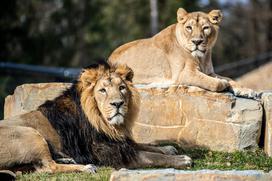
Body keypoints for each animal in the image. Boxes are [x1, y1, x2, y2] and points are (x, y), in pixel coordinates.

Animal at [0, 62, 191, 174]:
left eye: (122, 88)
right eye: (102, 90)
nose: (117, 104)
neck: (105, 123)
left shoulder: (119, 141)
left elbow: (145, 145)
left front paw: (168, 148)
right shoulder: (110, 153)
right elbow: (151, 157)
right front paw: (181, 159)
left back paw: (67, 159)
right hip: (30, 133)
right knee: (48, 167)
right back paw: (86, 167)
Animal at [109, 7, 258, 97]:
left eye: (205, 28)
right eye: (189, 28)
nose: (197, 42)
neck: (202, 57)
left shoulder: (210, 72)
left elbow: (230, 79)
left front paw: (247, 90)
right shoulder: (184, 74)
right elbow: (214, 82)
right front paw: (224, 84)